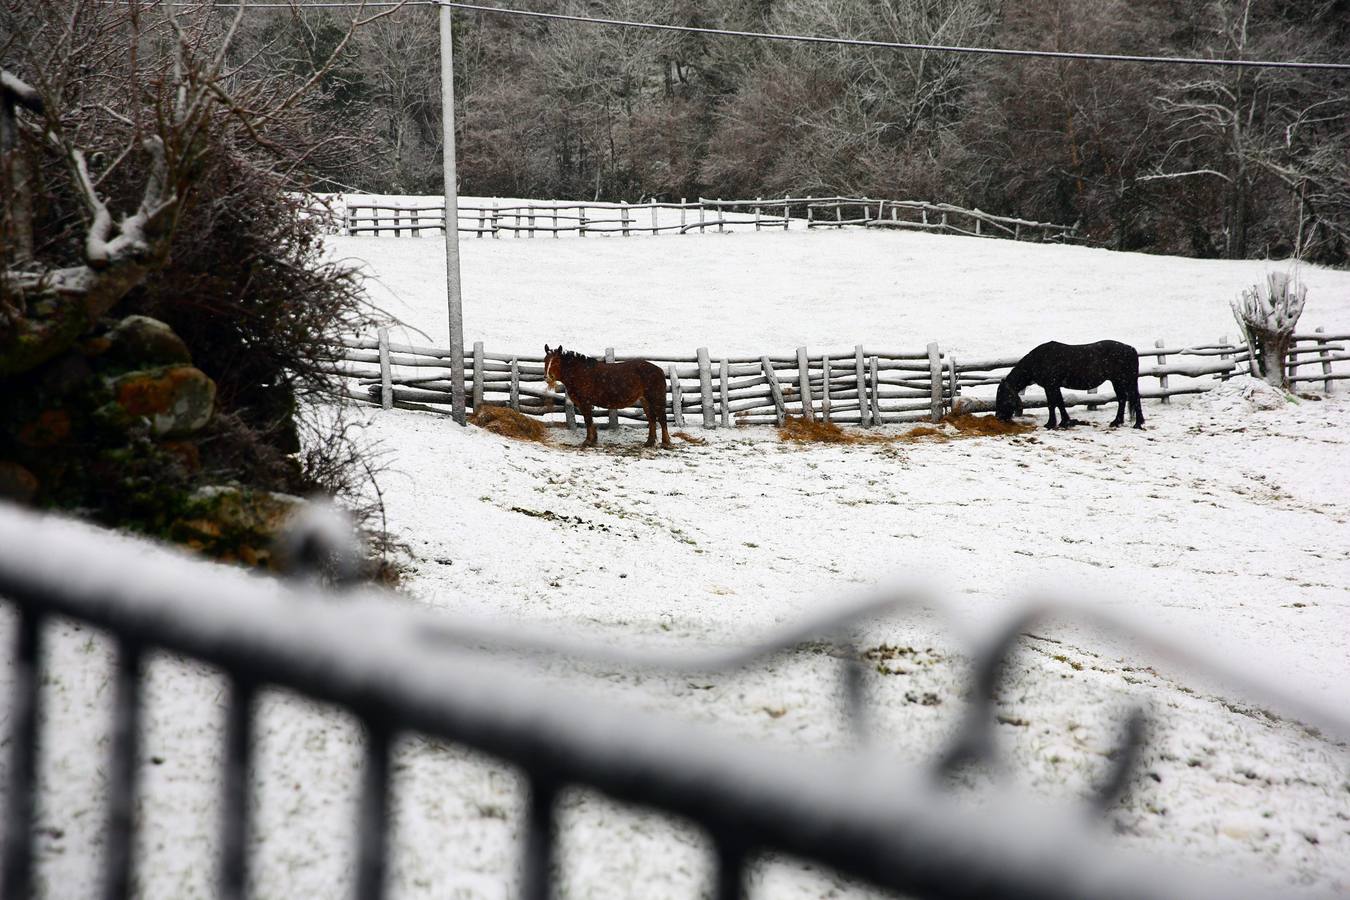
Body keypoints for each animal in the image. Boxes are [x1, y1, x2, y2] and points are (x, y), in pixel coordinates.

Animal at [999, 341, 1144, 431]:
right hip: (1117, 381)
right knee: (1122, 399)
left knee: (1134, 399)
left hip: (1127, 381)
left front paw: (1054, 423)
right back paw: (1117, 422)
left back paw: (1137, 424)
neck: (1039, 359)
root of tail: (1130, 348)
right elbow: (1057, 403)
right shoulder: (1053, 387)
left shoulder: (1051, 386)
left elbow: (1054, 404)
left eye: (1003, 397)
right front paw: (1063, 422)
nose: (999, 417)